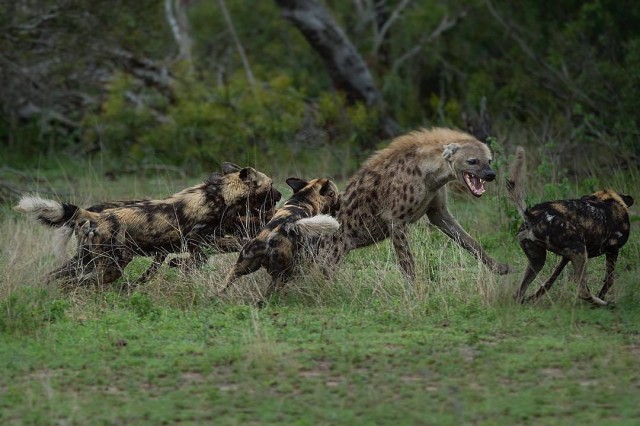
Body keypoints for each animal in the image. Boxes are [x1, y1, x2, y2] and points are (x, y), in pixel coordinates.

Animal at [14, 162, 280, 286]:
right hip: (110, 267)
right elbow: (206, 254)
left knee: (55, 277)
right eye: (271, 185)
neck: (220, 194)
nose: (280, 196)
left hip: (85, 261)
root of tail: (93, 214)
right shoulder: (198, 239)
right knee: (76, 283)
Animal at [316, 126, 510, 280]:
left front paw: (500, 267)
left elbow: (468, 240)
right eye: (472, 161)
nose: (491, 174)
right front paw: (415, 287)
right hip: (333, 249)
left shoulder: (438, 211)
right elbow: (406, 258)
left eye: (489, 160)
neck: (431, 175)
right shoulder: (395, 219)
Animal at [504, 147, 636, 306]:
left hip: (539, 261)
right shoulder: (612, 249)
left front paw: (534, 297)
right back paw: (605, 304)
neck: (608, 200)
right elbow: (609, 280)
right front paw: (603, 295)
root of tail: (532, 215)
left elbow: (549, 281)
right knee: (583, 291)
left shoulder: (566, 257)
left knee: (518, 293)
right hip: (580, 251)